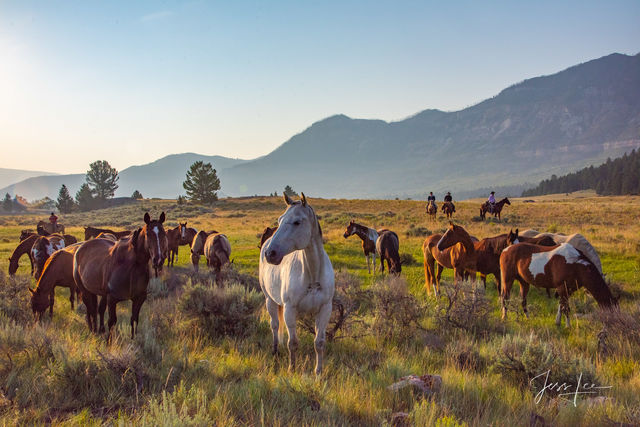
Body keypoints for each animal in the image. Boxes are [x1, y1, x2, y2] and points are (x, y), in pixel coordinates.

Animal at [73, 214, 168, 342]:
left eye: (163, 233)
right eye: (148, 234)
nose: (158, 260)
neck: (131, 266)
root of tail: (80, 248)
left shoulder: (139, 298)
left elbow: (134, 319)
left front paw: (133, 340)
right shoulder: (112, 299)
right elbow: (112, 321)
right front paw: (109, 342)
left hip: (101, 294)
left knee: (98, 309)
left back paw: (99, 330)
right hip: (85, 291)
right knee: (91, 310)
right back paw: (93, 331)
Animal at [258, 192, 336, 376]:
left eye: (297, 222)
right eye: (280, 220)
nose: (270, 254)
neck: (313, 275)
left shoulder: (325, 309)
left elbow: (319, 343)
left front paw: (318, 372)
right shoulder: (289, 309)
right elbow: (292, 343)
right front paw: (292, 369)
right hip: (270, 301)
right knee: (274, 326)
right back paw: (275, 352)